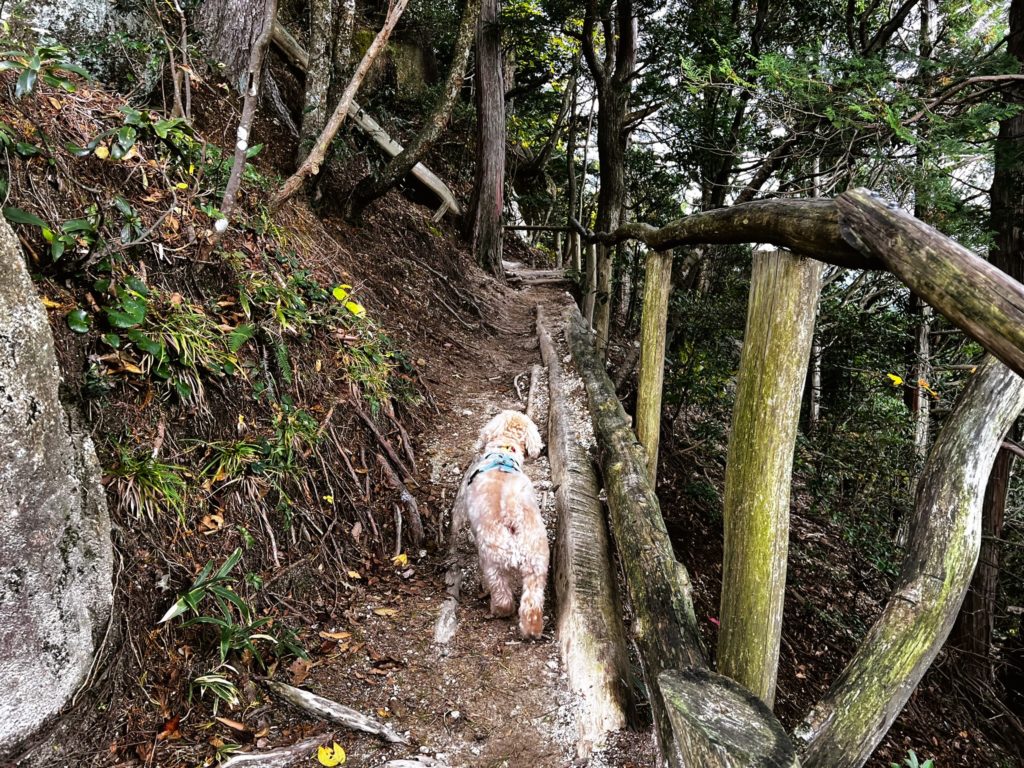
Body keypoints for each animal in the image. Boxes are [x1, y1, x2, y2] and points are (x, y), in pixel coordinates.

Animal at [451, 410, 549, 639]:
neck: (504, 451)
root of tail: (513, 513)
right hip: (537, 563)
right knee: (532, 602)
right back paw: (532, 630)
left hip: (491, 560)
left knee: (502, 594)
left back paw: (498, 610)